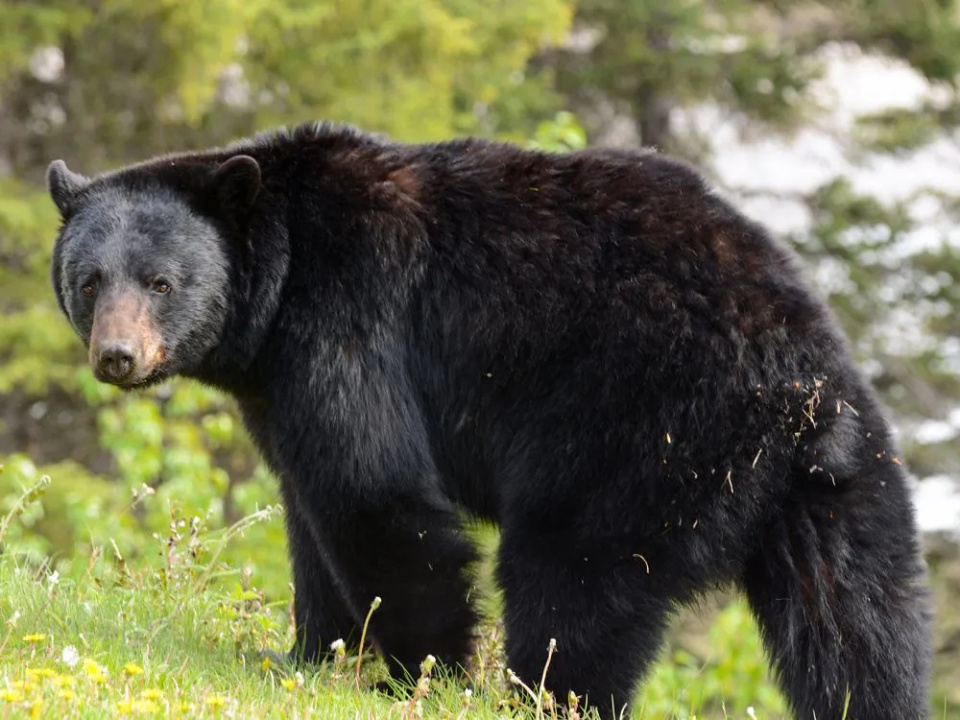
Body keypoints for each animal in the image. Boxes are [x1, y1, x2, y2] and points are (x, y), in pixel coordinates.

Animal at [47, 121, 928, 716]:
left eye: (161, 282)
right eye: (89, 281)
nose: (117, 356)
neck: (278, 281)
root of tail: (801, 390)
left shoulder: (348, 320)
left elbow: (376, 495)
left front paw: (417, 674)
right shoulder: (276, 382)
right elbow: (309, 511)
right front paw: (306, 654)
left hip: (639, 425)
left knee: (572, 578)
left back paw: (533, 697)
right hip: (845, 489)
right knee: (860, 625)